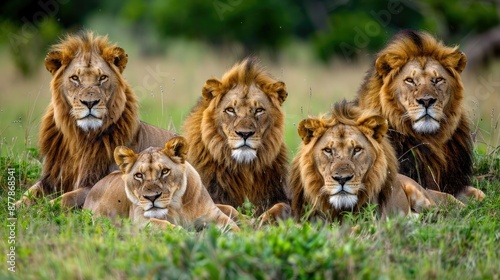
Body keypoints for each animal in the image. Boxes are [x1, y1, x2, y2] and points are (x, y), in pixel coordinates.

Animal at [16, 31, 176, 209]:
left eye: (102, 77)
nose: (90, 103)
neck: (79, 139)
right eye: (74, 78)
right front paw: (15, 207)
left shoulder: (97, 184)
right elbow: (29, 194)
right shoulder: (50, 179)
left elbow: (62, 200)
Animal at [84, 136, 240, 232]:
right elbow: (168, 227)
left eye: (165, 171)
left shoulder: (214, 215)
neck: (178, 207)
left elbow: (234, 228)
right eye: (138, 175)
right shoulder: (139, 220)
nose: (151, 197)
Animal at [181, 57, 290, 219]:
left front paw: (264, 220)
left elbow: (281, 207)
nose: (245, 134)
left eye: (259, 110)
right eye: (230, 110)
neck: (243, 168)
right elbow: (225, 208)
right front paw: (247, 220)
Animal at [356, 30, 484, 201]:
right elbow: (444, 196)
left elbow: (479, 193)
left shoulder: (454, 183)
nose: (426, 101)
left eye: (438, 80)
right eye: (410, 80)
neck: (429, 139)